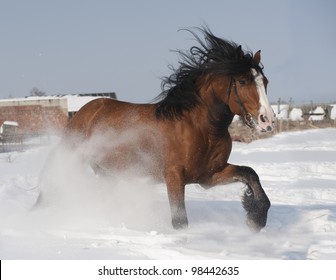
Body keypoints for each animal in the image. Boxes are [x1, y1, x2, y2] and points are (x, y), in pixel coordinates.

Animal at [64, 27, 274, 231]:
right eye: (242, 81)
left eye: (265, 82)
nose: (267, 120)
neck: (202, 129)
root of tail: (85, 110)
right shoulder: (174, 176)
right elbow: (180, 221)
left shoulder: (209, 175)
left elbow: (249, 173)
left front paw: (256, 218)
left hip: (106, 172)